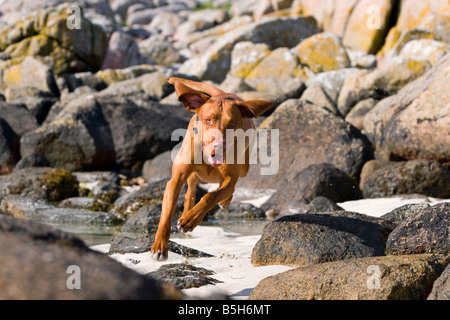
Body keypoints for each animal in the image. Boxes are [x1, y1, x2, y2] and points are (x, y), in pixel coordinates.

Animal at [149, 77, 272, 260]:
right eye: (208, 120)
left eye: (232, 123)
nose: (218, 146)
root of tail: (223, 93)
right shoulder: (175, 179)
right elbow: (167, 212)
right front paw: (159, 247)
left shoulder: (229, 180)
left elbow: (211, 196)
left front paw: (192, 219)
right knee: (191, 187)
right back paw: (187, 210)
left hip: (244, 167)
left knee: (227, 188)